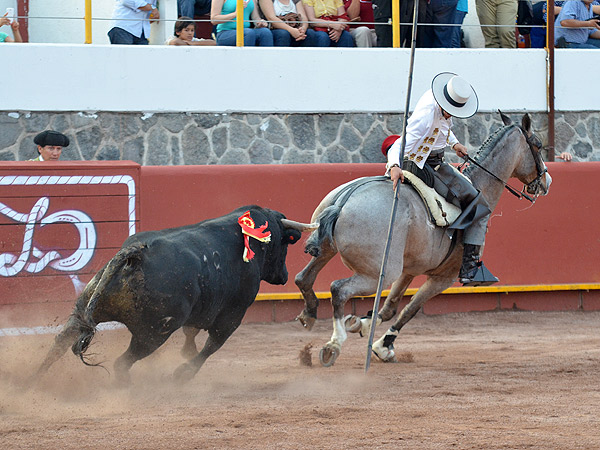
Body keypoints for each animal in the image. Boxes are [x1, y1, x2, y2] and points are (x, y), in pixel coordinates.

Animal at [33, 206, 314, 384]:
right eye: (285, 244)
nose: (284, 275)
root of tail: (136, 254)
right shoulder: (233, 314)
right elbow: (212, 345)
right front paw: (183, 373)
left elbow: (192, 333)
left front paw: (186, 354)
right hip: (153, 333)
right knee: (122, 362)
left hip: (83, 311)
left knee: (58, 345)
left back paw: (30, 383)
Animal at [296, 111, 552, 366]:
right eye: (538, 145)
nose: (546, 182)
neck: (481, 184)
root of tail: (343, 201)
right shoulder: (442, 277)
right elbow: (410, 309)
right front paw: (382, 346)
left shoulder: (409, 270)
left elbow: (389, 307)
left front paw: (362, 324)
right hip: (378, 273)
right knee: (338, 289)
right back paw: (333, 345)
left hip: (329, 251)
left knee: (303, 278)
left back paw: (309, 316)